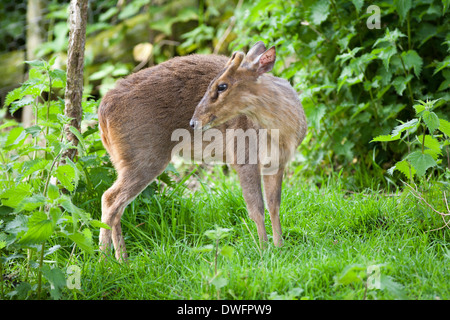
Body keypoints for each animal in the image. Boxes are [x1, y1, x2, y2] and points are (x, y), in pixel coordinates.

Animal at [99, 41, 308, 260]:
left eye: (222, 86)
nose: (194, 122)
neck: (280, 133)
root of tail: (102, 113)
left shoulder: (276, 162)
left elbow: (274, 205)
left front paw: (279, 247)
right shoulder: (243, 157)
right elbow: (256, 208)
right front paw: (264, 251)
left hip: (124, 159)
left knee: (116, 205)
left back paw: (121, 259)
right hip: (143, 156)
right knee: (110, 199)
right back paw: (107, 260)